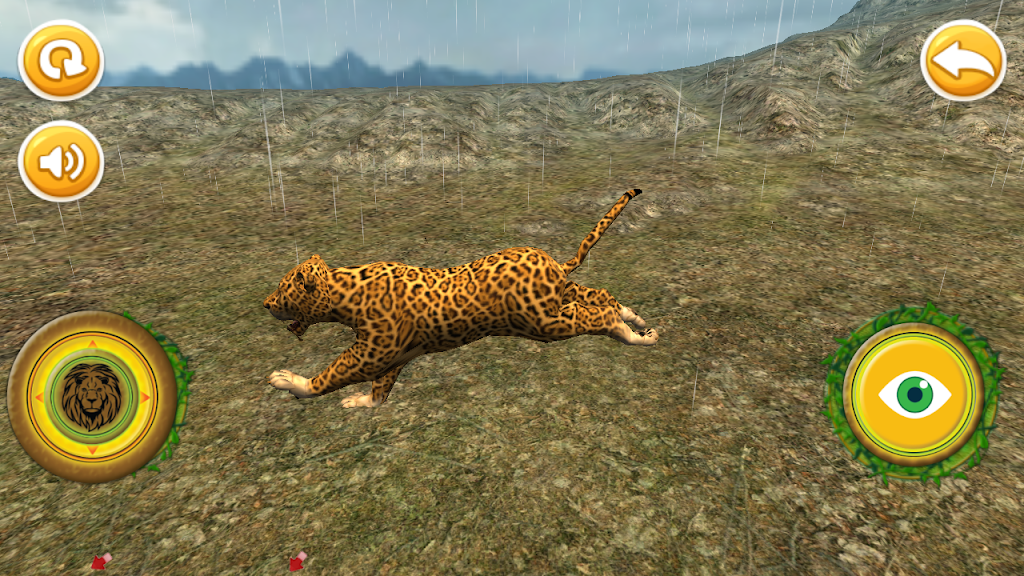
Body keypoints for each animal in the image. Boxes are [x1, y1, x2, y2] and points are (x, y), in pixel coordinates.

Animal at [263, 188, 657, 408]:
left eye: (283, 289)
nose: (266, 304)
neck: (345, 291)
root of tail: (553, 262)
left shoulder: (370, 354)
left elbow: (332, 374)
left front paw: (290, 382)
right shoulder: (392, 359)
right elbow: (379, 394)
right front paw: (362, 402)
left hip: (545, 322)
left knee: (596, 317)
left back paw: (633, 335)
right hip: (560, 298)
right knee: (600, 296)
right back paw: (637, 321)